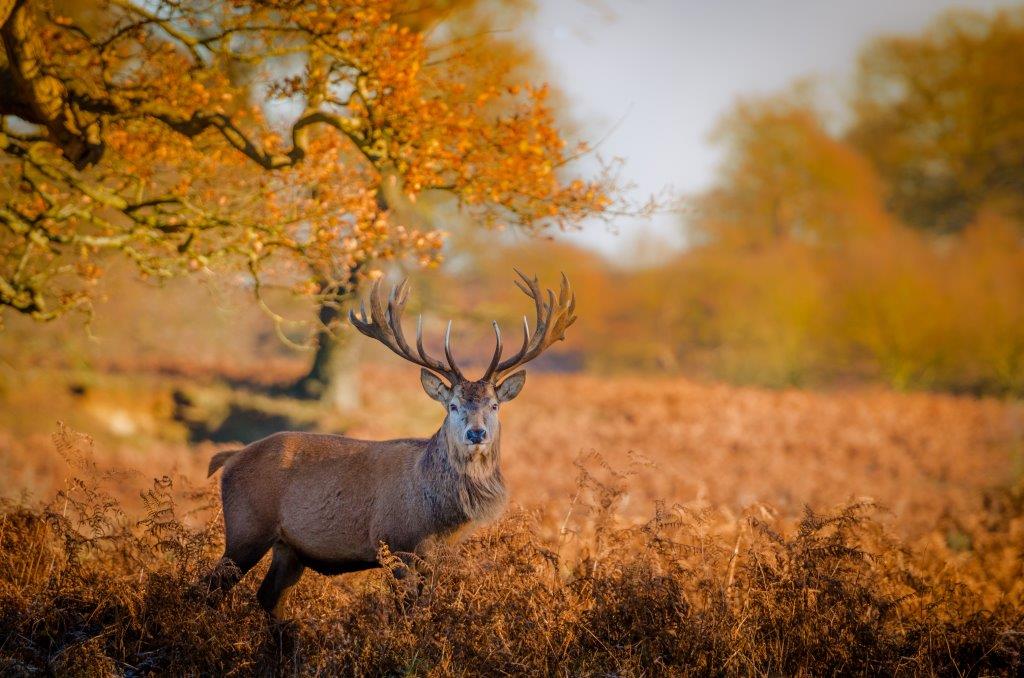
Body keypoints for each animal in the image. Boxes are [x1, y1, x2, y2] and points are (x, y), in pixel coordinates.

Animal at [204, 271, 576, 617]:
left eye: (494, 405)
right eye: (453, 405)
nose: (476, 433)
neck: (437, 515)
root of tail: (230, 458)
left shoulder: (437, 558)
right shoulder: (396, 545)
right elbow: (405, 614)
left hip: (289, 547)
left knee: (269, 597)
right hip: (246, 528)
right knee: (209, 588)